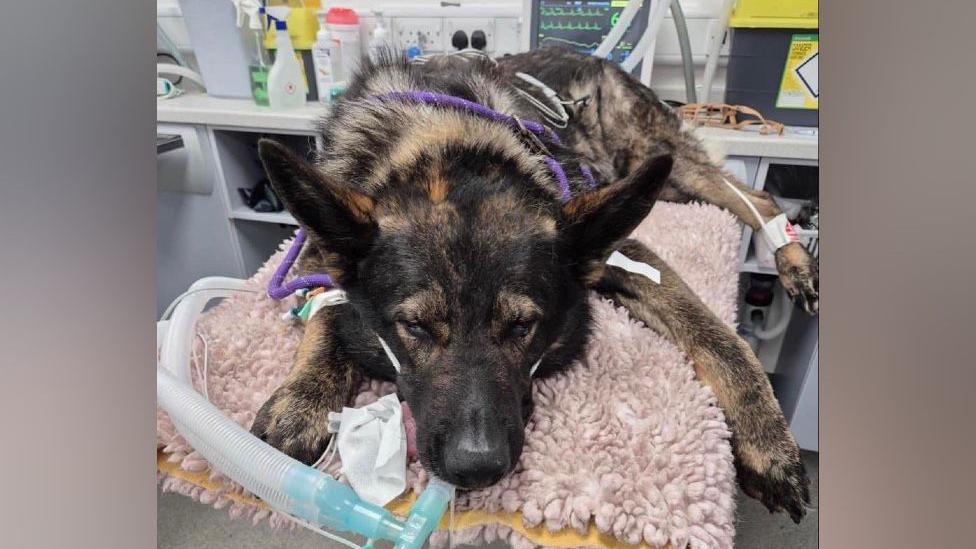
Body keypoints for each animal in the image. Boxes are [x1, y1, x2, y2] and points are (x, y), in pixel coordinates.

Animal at [252, 48, 816, 524]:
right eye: (414, 327)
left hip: (656, 164)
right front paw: (302, 398)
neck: (446, 146)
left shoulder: (625, 252)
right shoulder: (317, 249)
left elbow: (720, 339)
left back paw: (796, 264)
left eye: (523, 326)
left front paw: (770, 444)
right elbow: (326, 311)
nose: (475, 469)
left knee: (755, 197)